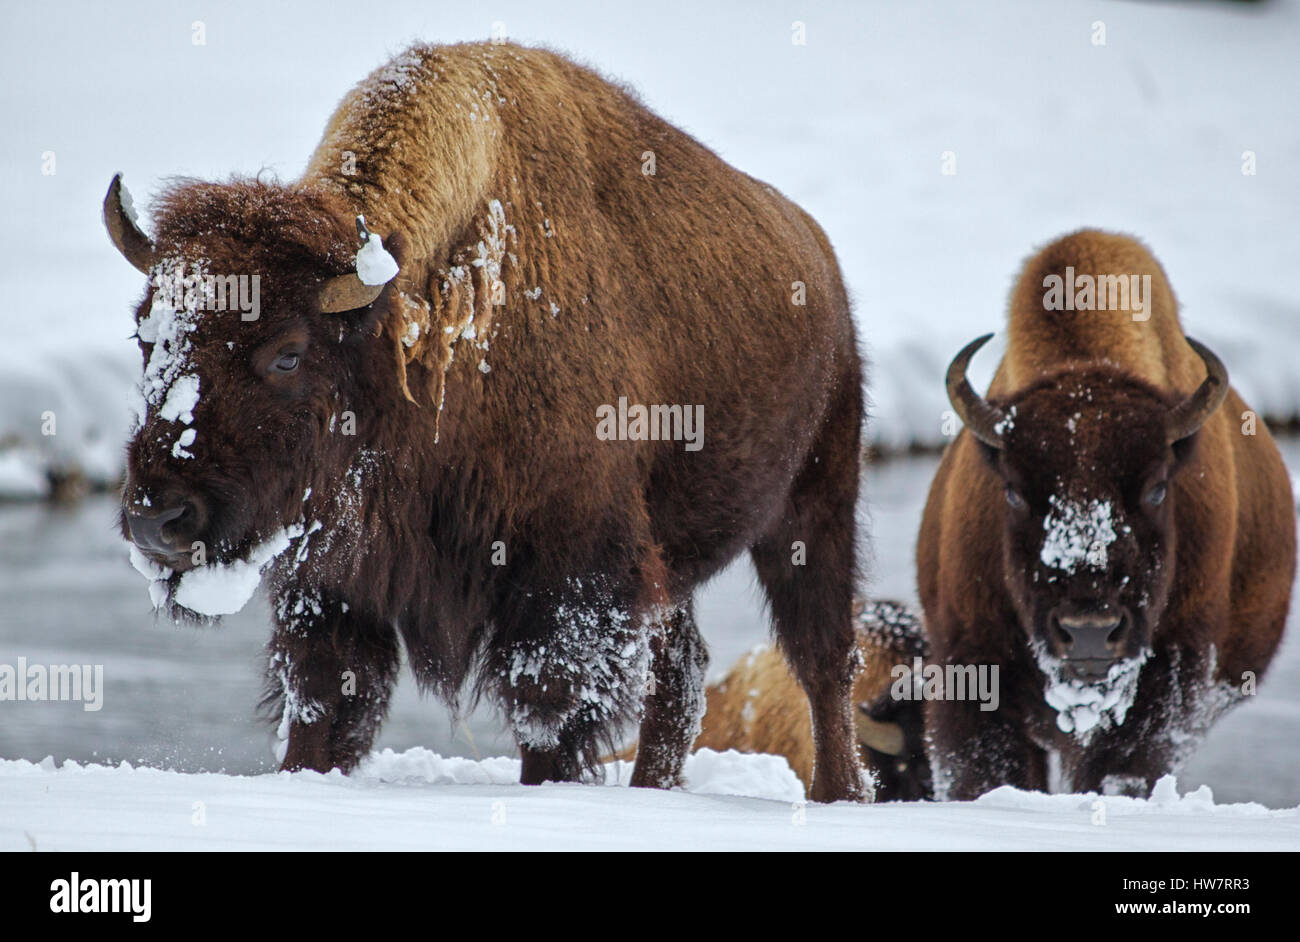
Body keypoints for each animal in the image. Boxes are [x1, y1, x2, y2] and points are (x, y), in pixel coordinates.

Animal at [104, 40, 873, 795]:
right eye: (147, 333)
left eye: (287, 355)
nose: (158, 517)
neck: (405, 333)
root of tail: (820, 258)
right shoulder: (334, 581)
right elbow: (321, 703)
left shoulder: (569, 580)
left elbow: (548, 718)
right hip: (670, 561)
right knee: (682, 674)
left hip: (812, 507)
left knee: (823, 660)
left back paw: (838, 792)